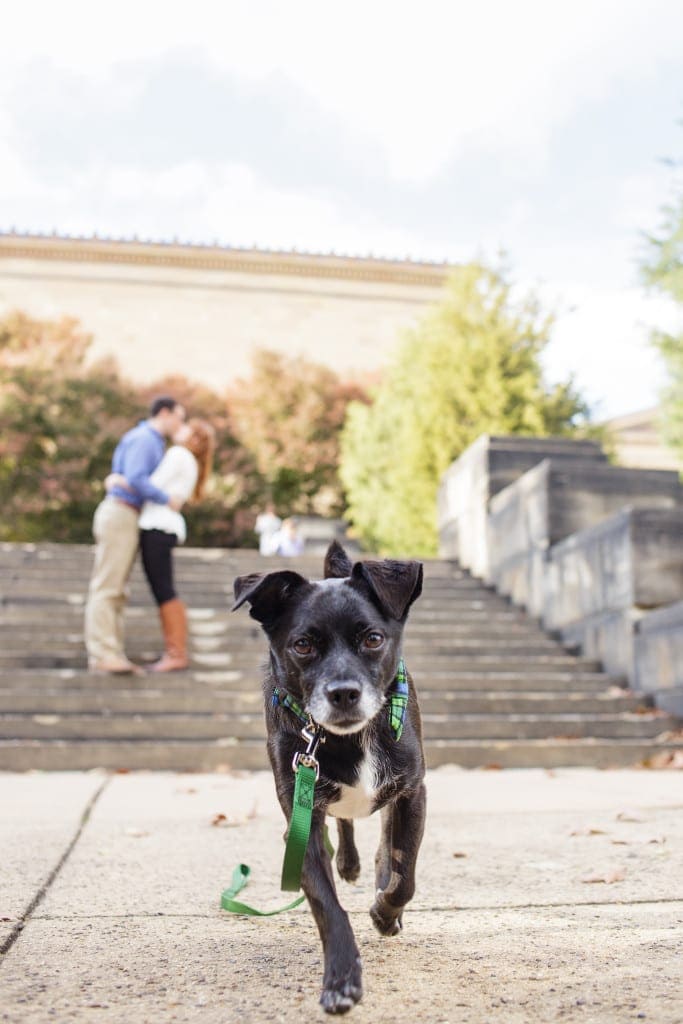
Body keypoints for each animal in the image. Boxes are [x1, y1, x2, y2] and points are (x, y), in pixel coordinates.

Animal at [235, 540, 428, 1011]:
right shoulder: (300, 821)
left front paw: (384, 913)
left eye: (373, 639)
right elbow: (326, 904)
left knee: (385, 839)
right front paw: (341, 977)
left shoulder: (413, 793)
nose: (343, 693)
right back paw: (350, 862)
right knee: (346, 825)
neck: (348, 738)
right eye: (303, 645)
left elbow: (405, 877)